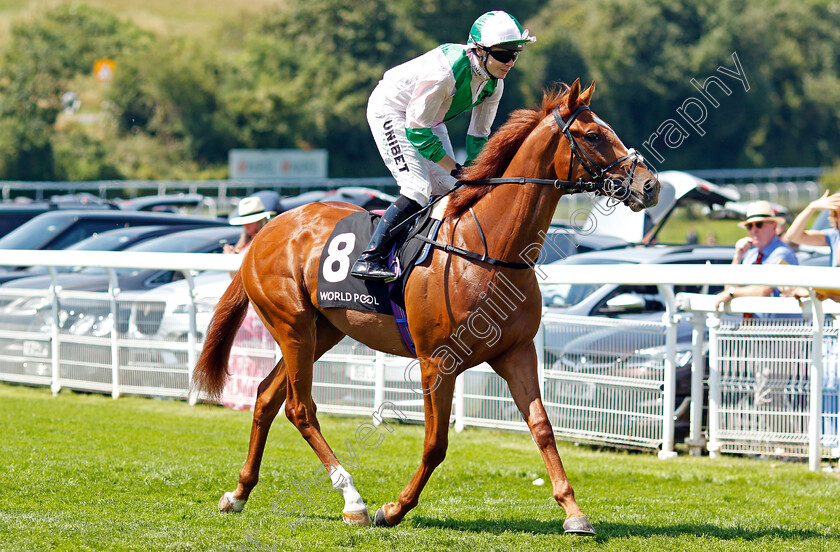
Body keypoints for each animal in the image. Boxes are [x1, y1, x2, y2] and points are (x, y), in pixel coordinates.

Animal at [194, 78, 660, 536]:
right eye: (593, 134)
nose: (650, 186)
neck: (488, 251)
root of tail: (268, 230)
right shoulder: (438, 361)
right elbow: (436, 443)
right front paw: (393, 509)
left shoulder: (517, 352)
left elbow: (543, 428)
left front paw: (574, 512)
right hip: (292, 325)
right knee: (300, 407)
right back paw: (353, 501)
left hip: (323, 330)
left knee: (266, 396)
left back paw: (238, 493)